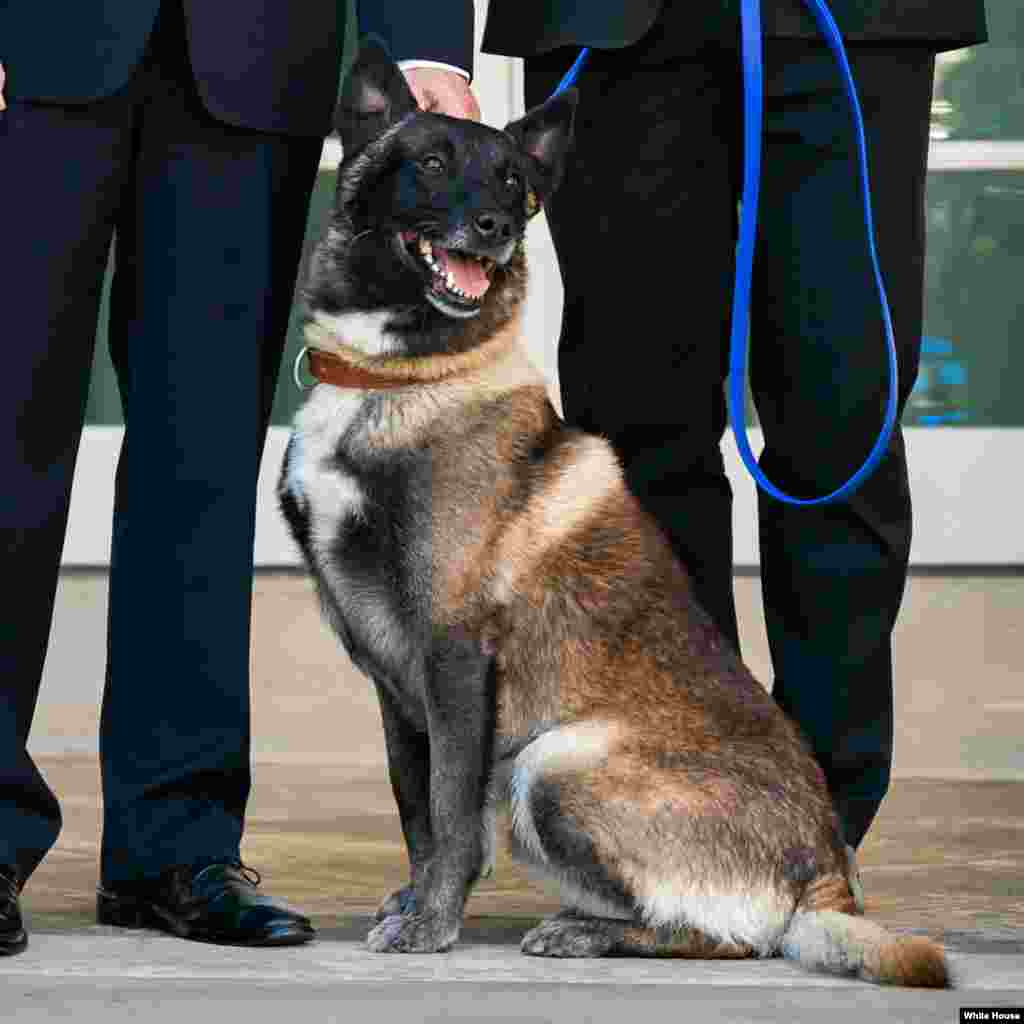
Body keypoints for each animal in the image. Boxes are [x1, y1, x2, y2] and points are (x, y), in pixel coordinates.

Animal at [278, 36, 942, 987]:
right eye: (433, 163)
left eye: (514, 183)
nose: (497, 227)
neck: (400, 378)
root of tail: (827, 873)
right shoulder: (393, 677)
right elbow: (416, 809)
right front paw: (416, 900)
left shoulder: (453, 655)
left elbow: (449, 812)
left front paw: (433, 922)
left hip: (554, 760)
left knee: (732, 935)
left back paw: (585, 932)